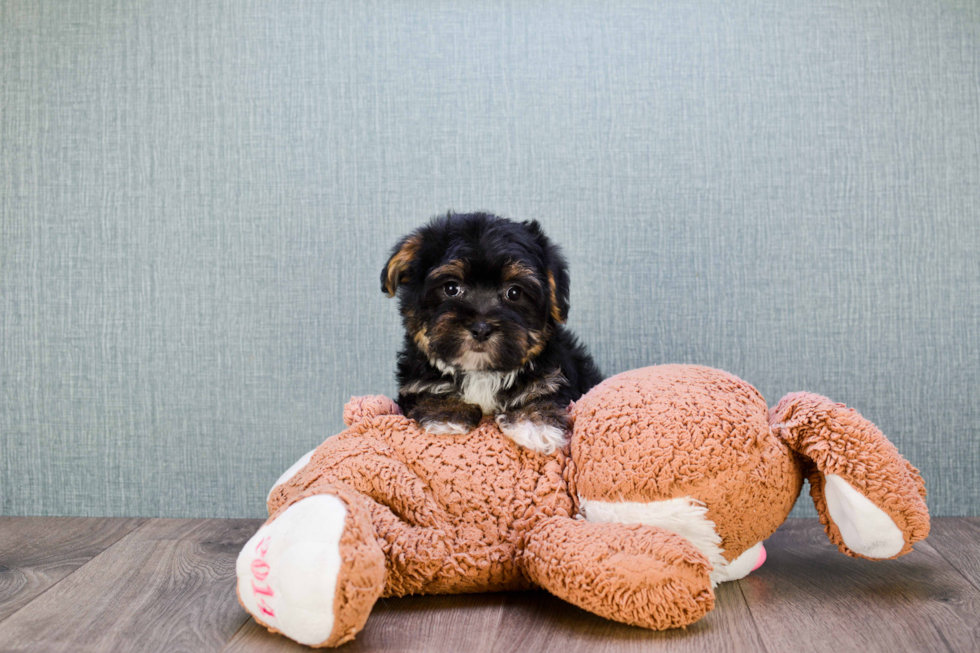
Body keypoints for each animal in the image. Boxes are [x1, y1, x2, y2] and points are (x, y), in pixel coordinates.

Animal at [382, 211, 604, 450]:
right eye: (451, 288)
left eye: (514, 292)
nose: (481, 329)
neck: (482, 373)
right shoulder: (415, 384)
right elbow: (428, 392)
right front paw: (447, 413)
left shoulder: (555, 375)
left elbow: (544, 392)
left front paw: (535, 422)